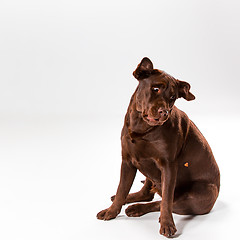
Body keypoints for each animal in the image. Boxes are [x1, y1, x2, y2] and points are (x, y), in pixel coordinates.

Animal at [96, 57, 220, 237]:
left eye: (173, 97)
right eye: (155, 89)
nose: (164, 112)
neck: (142, 128)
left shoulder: (168, 166)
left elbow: (166, 201)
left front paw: (167, 224)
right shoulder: (127, 161)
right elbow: (121, 189)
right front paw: (111, 211)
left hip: (200, 195)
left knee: (163, 202)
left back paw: (137, 209)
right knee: (147, 192)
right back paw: (131, 199)